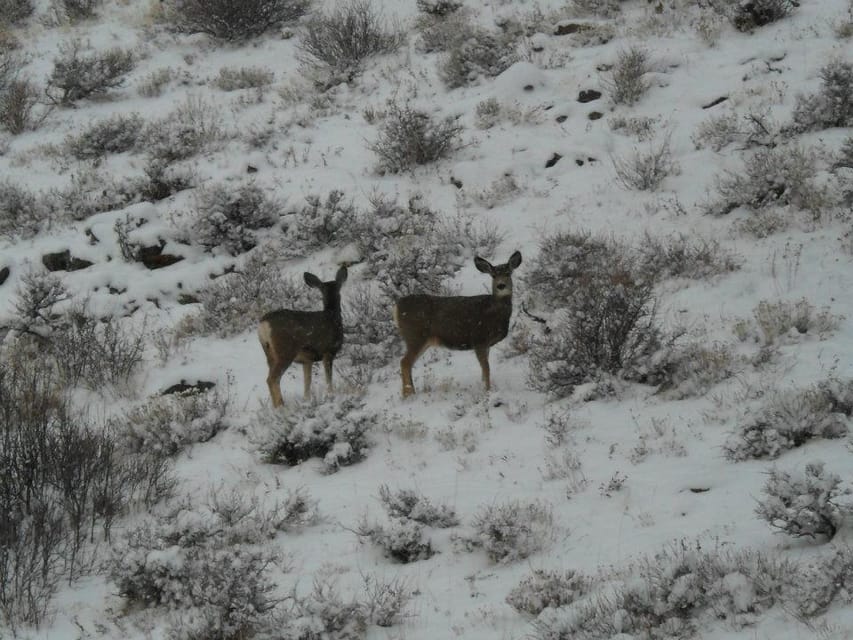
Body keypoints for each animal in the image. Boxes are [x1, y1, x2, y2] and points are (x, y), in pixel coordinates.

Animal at [256, 266, 346, 408]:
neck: (333, 316)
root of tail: (263, 325)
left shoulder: (307, 360)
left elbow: (307, 382)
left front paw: (306, 401)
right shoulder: (328, 351)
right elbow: (328, 378)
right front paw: (330, 395)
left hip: (269, 354)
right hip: (285, 352)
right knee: (272, 379)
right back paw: (281, 407)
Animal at [392, 252, 520, 398]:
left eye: (508, 273)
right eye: (493, 275)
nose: (501, 286)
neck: (493, 312)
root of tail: (397, 306)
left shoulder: (486, 345)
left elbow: (484, 370)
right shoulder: (479, 340)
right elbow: (486, 369)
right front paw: (487, 391)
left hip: (423, 340)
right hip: (415, 335)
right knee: (405, 362)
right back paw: (409, 394)